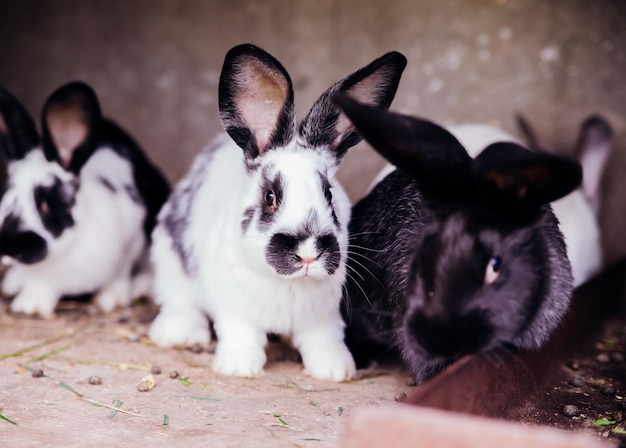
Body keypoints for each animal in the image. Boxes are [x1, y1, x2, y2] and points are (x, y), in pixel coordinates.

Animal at [0, 81, 169, 318]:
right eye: (6, 194)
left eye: (46, 205)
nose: (8, 246)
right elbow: (38, 285)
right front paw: (30, 306)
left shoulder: (130, 242)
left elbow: (120, 274)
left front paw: (111, 299)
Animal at [149, 43, 408, 382]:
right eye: (270, 197)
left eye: (329, 194)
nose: (309, 252)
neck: (288, 284)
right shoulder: (235, 310)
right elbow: (241, 335)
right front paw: (238, 367)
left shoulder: (324, 318)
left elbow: (325, 341)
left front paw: (335, 370)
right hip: (169, 259)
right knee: (177, 299)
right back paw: (178, 333)